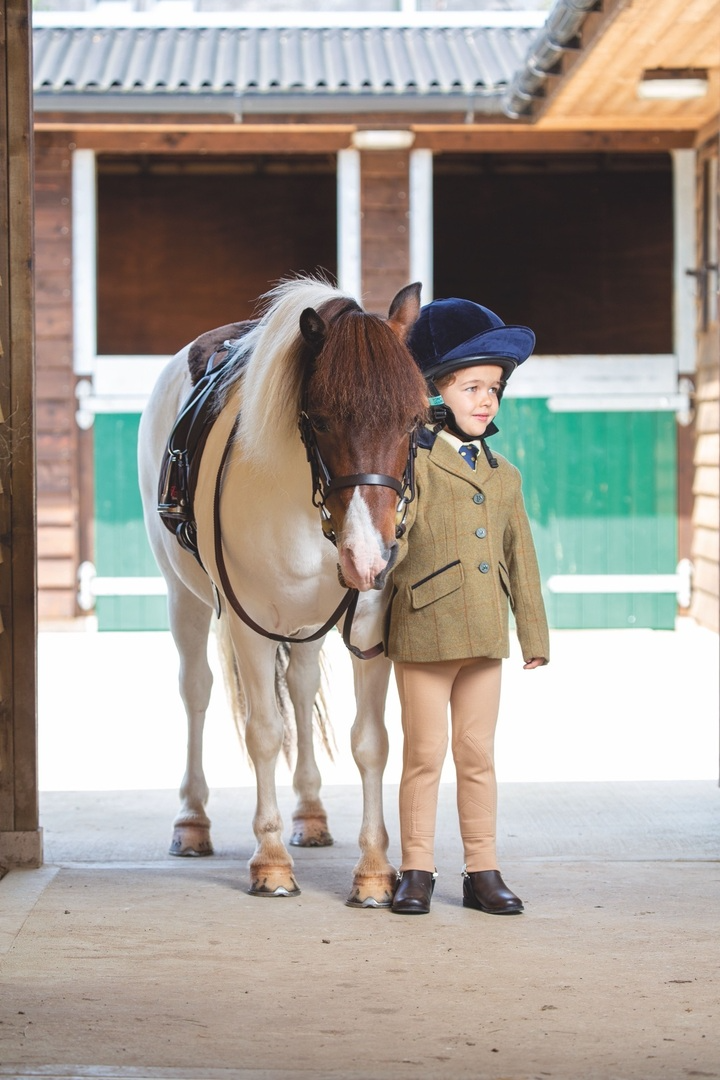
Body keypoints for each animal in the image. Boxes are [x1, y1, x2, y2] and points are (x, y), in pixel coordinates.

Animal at [137, 275, 427, 906]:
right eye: (318, 420)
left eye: (415, 421)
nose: (369, 557)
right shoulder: (248, 623)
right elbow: (265, 733)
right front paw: (270, 863)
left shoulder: (368, 622)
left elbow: (371, 740)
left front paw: (374, 871)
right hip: (185, 600)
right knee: (196, 691)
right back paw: (192, 821)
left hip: (308, 623)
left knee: (300, 684)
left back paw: (311, 815)